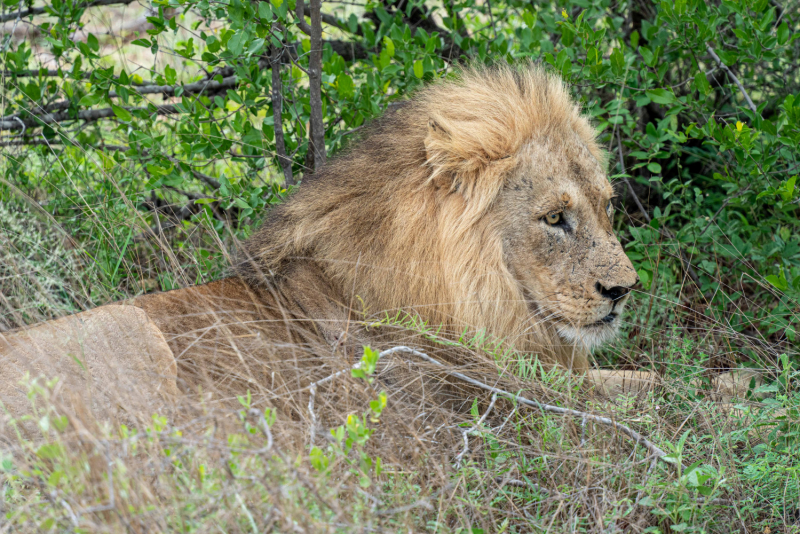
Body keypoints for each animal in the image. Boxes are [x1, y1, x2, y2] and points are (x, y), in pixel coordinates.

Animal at [1, 61, 752, 436]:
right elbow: (652, 405)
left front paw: (744, 381)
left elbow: (656, 379)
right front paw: (753, 403)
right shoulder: (493, 398)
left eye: (606, 208)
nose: (623, 291)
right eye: (555, 219)